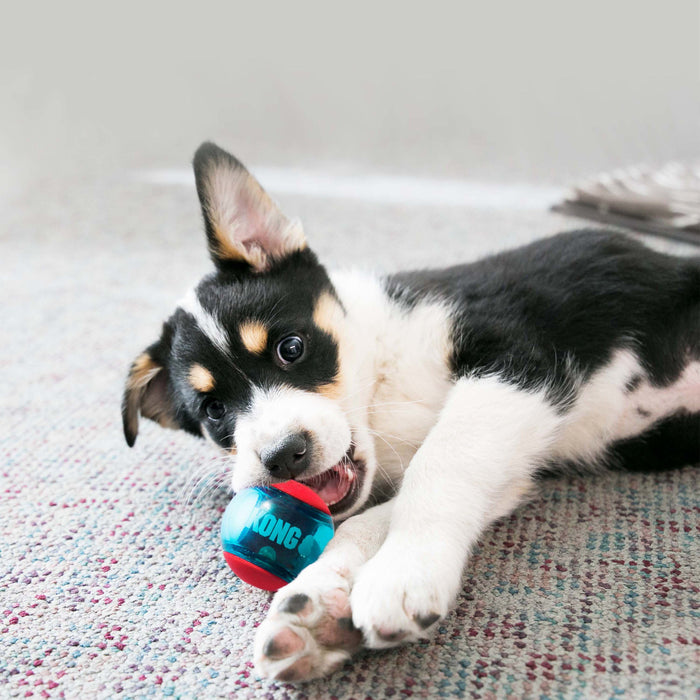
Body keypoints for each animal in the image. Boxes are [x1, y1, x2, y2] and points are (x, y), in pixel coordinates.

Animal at [124, 139, 700, 680]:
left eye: (291, 348)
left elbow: (439, 465)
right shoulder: (511, 459)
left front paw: (403, 573)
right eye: (214, 410)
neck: (382, 380)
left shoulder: (515, 364)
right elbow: (370, 519)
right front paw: (320, 606)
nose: (283, 456)